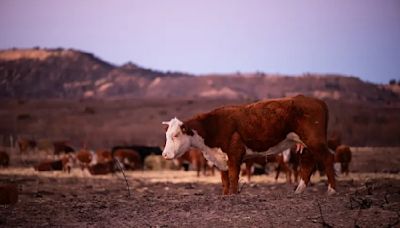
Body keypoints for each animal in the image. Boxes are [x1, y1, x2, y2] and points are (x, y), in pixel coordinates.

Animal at [161, 95, 336, 195]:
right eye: (167, 135)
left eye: (176, 135)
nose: (165, 155)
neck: (213, 126)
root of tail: (318, 101)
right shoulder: (221, 159)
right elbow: (224, 179)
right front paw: (226, 195)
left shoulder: (234, 153)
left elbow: (233, 177)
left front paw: (233, 195)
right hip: (306, 144)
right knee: (307, 164)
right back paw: (299, 190)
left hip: (315, 140)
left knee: (327, 159)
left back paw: (331, 190)